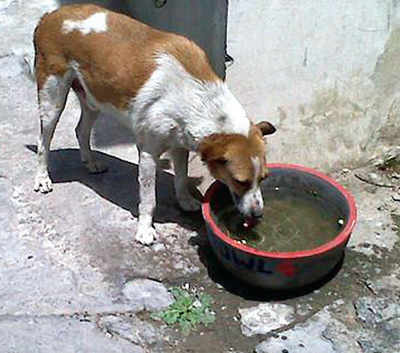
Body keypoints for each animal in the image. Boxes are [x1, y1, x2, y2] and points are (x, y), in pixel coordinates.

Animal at [33, 5, 276, 243]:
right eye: (240, 181)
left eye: (263, 178)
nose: (258, 214)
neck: (198, 97)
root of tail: (50, 16)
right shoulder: (148, 153)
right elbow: (149, 199)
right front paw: (144, 230)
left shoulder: (180, 145)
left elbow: (181, 178)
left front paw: (184, 201)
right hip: (52, 100)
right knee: (43, 142)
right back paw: (42, 178)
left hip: (93, 98)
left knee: (81, 131)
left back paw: (90, 162)